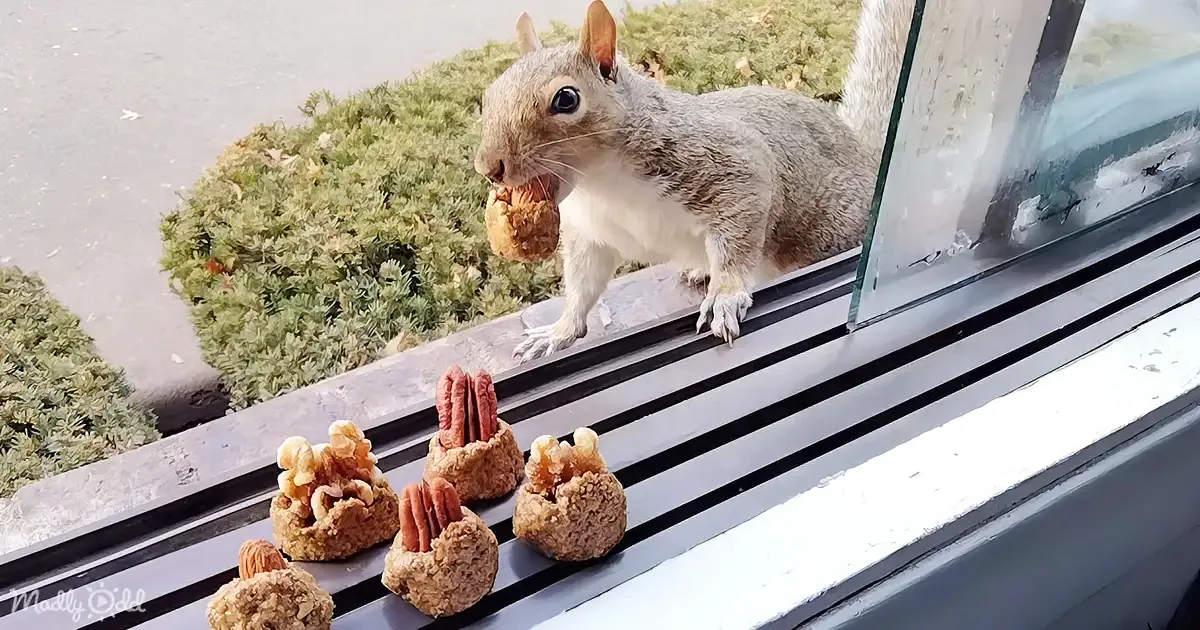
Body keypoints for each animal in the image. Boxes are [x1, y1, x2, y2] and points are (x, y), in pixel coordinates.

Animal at [475, 0, 913, 362]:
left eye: (566, 99)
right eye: (490, 93)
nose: (489, 167)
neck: (601, 185)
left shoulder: (732, 168)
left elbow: (738, 239)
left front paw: (726, 296)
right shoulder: (592, 234)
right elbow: (584, 287)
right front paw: (558, 332)